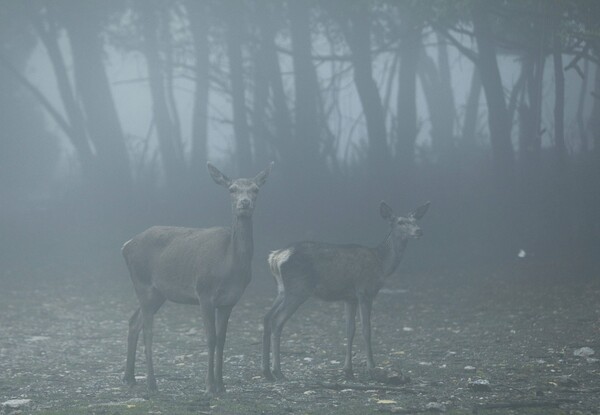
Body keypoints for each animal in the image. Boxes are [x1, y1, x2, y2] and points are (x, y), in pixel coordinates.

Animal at [123, 161, 274, 394]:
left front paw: (222, 385)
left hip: (158, 293)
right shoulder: (204, 292)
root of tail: (126, 245)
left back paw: (129, 378)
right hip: (142, 283)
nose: (245, 203)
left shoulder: (230, 301)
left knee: (133, 322)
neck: (229, 264)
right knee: (148, 330)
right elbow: (211, 338)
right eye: (232, 189)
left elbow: (222, 339)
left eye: (256, 189)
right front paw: (210, 385)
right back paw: (151, 383)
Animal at [262, 200, 426, 382]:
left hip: (282, 290)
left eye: (415, 220)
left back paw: (267, 372)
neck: (382, 263)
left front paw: (348, 370)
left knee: (266, 317)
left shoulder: (350, 298)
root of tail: (275, 257)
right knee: (277, 320)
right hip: (298, 288)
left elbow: (350, 330)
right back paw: (278, 371)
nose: (419, 231)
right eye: (400, 222)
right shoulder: (365, 291)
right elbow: (366, 329)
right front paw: (372, 368)